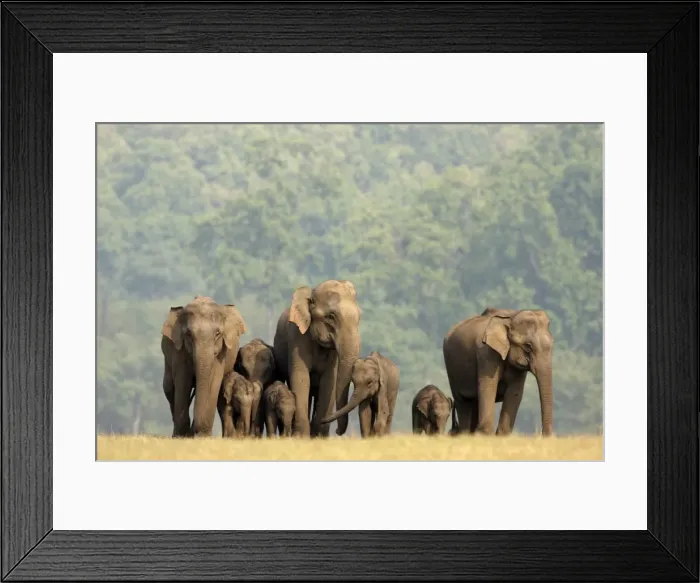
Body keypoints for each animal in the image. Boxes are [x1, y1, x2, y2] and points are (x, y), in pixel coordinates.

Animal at [161, 296, 247, 437]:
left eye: (218, 334)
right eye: (188, 334)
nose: (194, 431)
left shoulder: (221, 354)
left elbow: (213, 383)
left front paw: (203, 435)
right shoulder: (179, 351)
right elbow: (183, 382)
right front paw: (182, 436)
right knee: (169, 387)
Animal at [272, 279, 362, 438]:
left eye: (359, 317)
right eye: (331, 317)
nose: (337, 431)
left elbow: (329, 382)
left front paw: (319, 436)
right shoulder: (296, 338)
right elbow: (300, 378)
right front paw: (301, 437)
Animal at [442, 307, 554, 436]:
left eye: (551, 346)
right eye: (527, 346)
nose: (545, 435)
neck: (511, 317)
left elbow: (515, 392)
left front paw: (501, 436)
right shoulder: (486, 353)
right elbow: (488, 388)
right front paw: (485, 435)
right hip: (452, 369)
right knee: (463, 401)